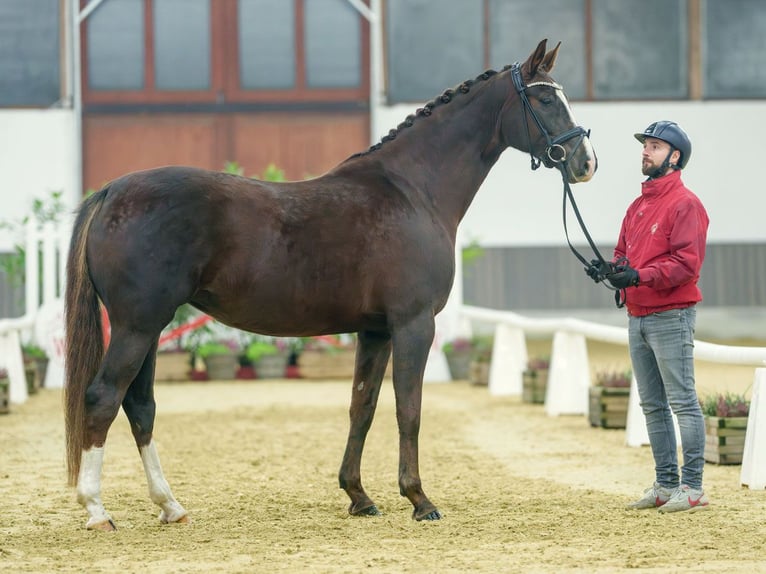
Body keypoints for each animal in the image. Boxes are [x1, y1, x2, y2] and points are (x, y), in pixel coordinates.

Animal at [63, 40, 596, 532]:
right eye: (544, 98)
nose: (585, 162)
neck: (414, 190)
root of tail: (112, 191)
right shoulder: (413, 325)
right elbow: (409, 409)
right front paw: (419, 500)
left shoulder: (375, 331)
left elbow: (363, 406)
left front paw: (359, 496)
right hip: (137, 326)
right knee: (104, 397)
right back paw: (97, 511)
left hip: (149, 328)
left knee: (140, 405)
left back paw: (170, 505)